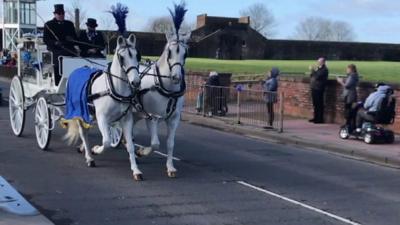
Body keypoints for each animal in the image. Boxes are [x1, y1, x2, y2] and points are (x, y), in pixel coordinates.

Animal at [62, 33, 144, 181]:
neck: (113, 88)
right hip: (80, 114)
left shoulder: (126, 119)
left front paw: (136, 170)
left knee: (86, 132)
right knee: (83, 133)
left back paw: (84, 149)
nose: (136, 82)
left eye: (137, 55)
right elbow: (106, 142)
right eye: (122, 57)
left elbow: (130, 146)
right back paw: (89, 157)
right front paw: (95, 150)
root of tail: (77, 70)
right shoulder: (102, 118)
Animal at [134, 32, 191, 178]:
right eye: (169, 52)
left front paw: (170, 167)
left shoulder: (174, 119)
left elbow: (170, 143)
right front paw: (141, 152)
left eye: (185, 54)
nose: (176, 77)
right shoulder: (152, 117)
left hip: (136, 113)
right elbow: (155, 144)